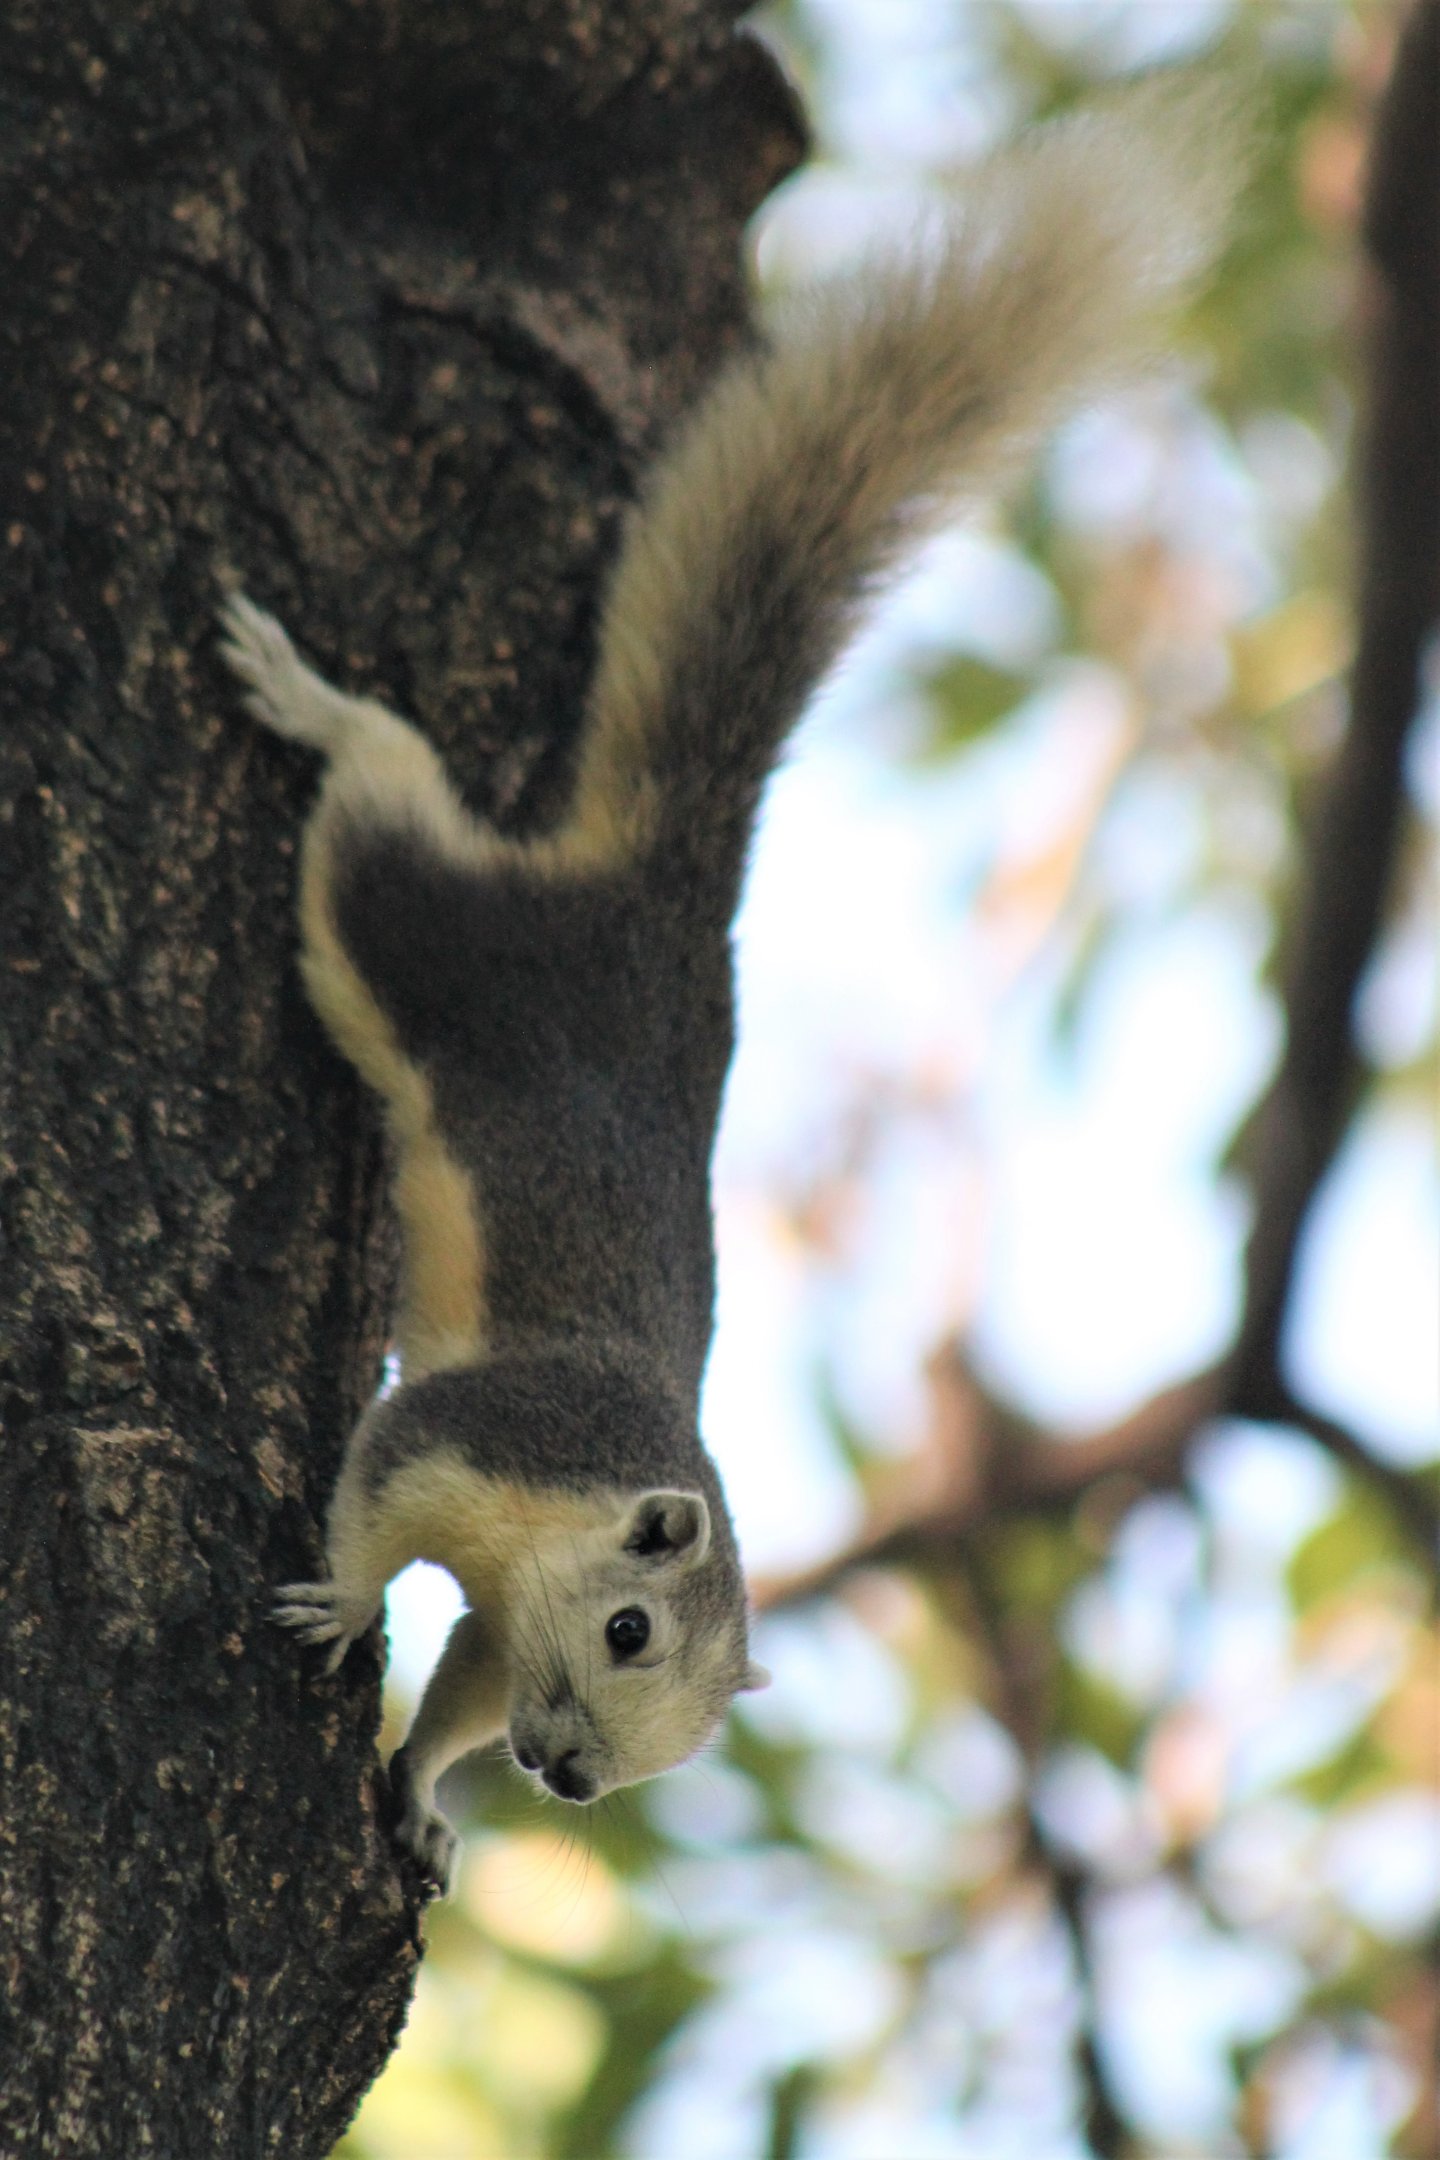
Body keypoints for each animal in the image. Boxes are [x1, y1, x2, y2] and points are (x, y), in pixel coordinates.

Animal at [219, 74, 1243, 1891]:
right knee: (381, 814)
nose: (567, 1776)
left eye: (675, 1739)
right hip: (442, 942)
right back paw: (305, 693)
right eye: (634, 1630)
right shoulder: (484, 1434)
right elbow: (371, 1486)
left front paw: (425, 1788)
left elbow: (467, 1673)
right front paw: (338, 1601)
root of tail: (666, 906)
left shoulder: (507, 1610)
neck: (587, 1501)